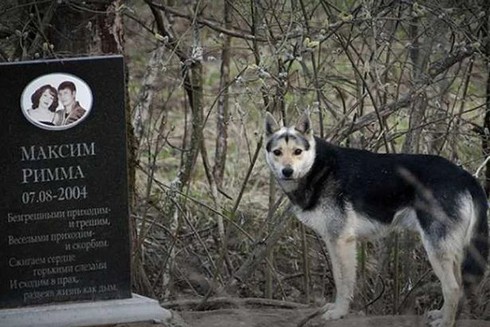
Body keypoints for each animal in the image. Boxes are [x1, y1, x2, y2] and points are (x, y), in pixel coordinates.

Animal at [266, 111, 488, 326]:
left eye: (297, 151)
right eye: (277, 152)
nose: (287, 171)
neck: (318, 167)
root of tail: (465, 176)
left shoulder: (341, 241)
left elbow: (343, 282)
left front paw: (339, 312)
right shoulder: (333, 242)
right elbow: (340, 277)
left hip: (435, 248)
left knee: (452, 288)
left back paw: (446, 322)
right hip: (449, 249)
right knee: (458, 285)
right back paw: (442, 315)